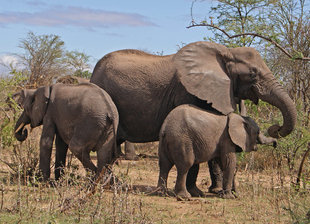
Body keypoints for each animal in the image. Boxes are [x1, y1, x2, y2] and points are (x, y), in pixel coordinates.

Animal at [90, 41, 298, 195]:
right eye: (253, 74)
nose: (275, 127)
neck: (225, 53)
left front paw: (215, 190)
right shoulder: (187, 90)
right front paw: (199, 192)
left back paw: (112, 184)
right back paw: (109, 185)